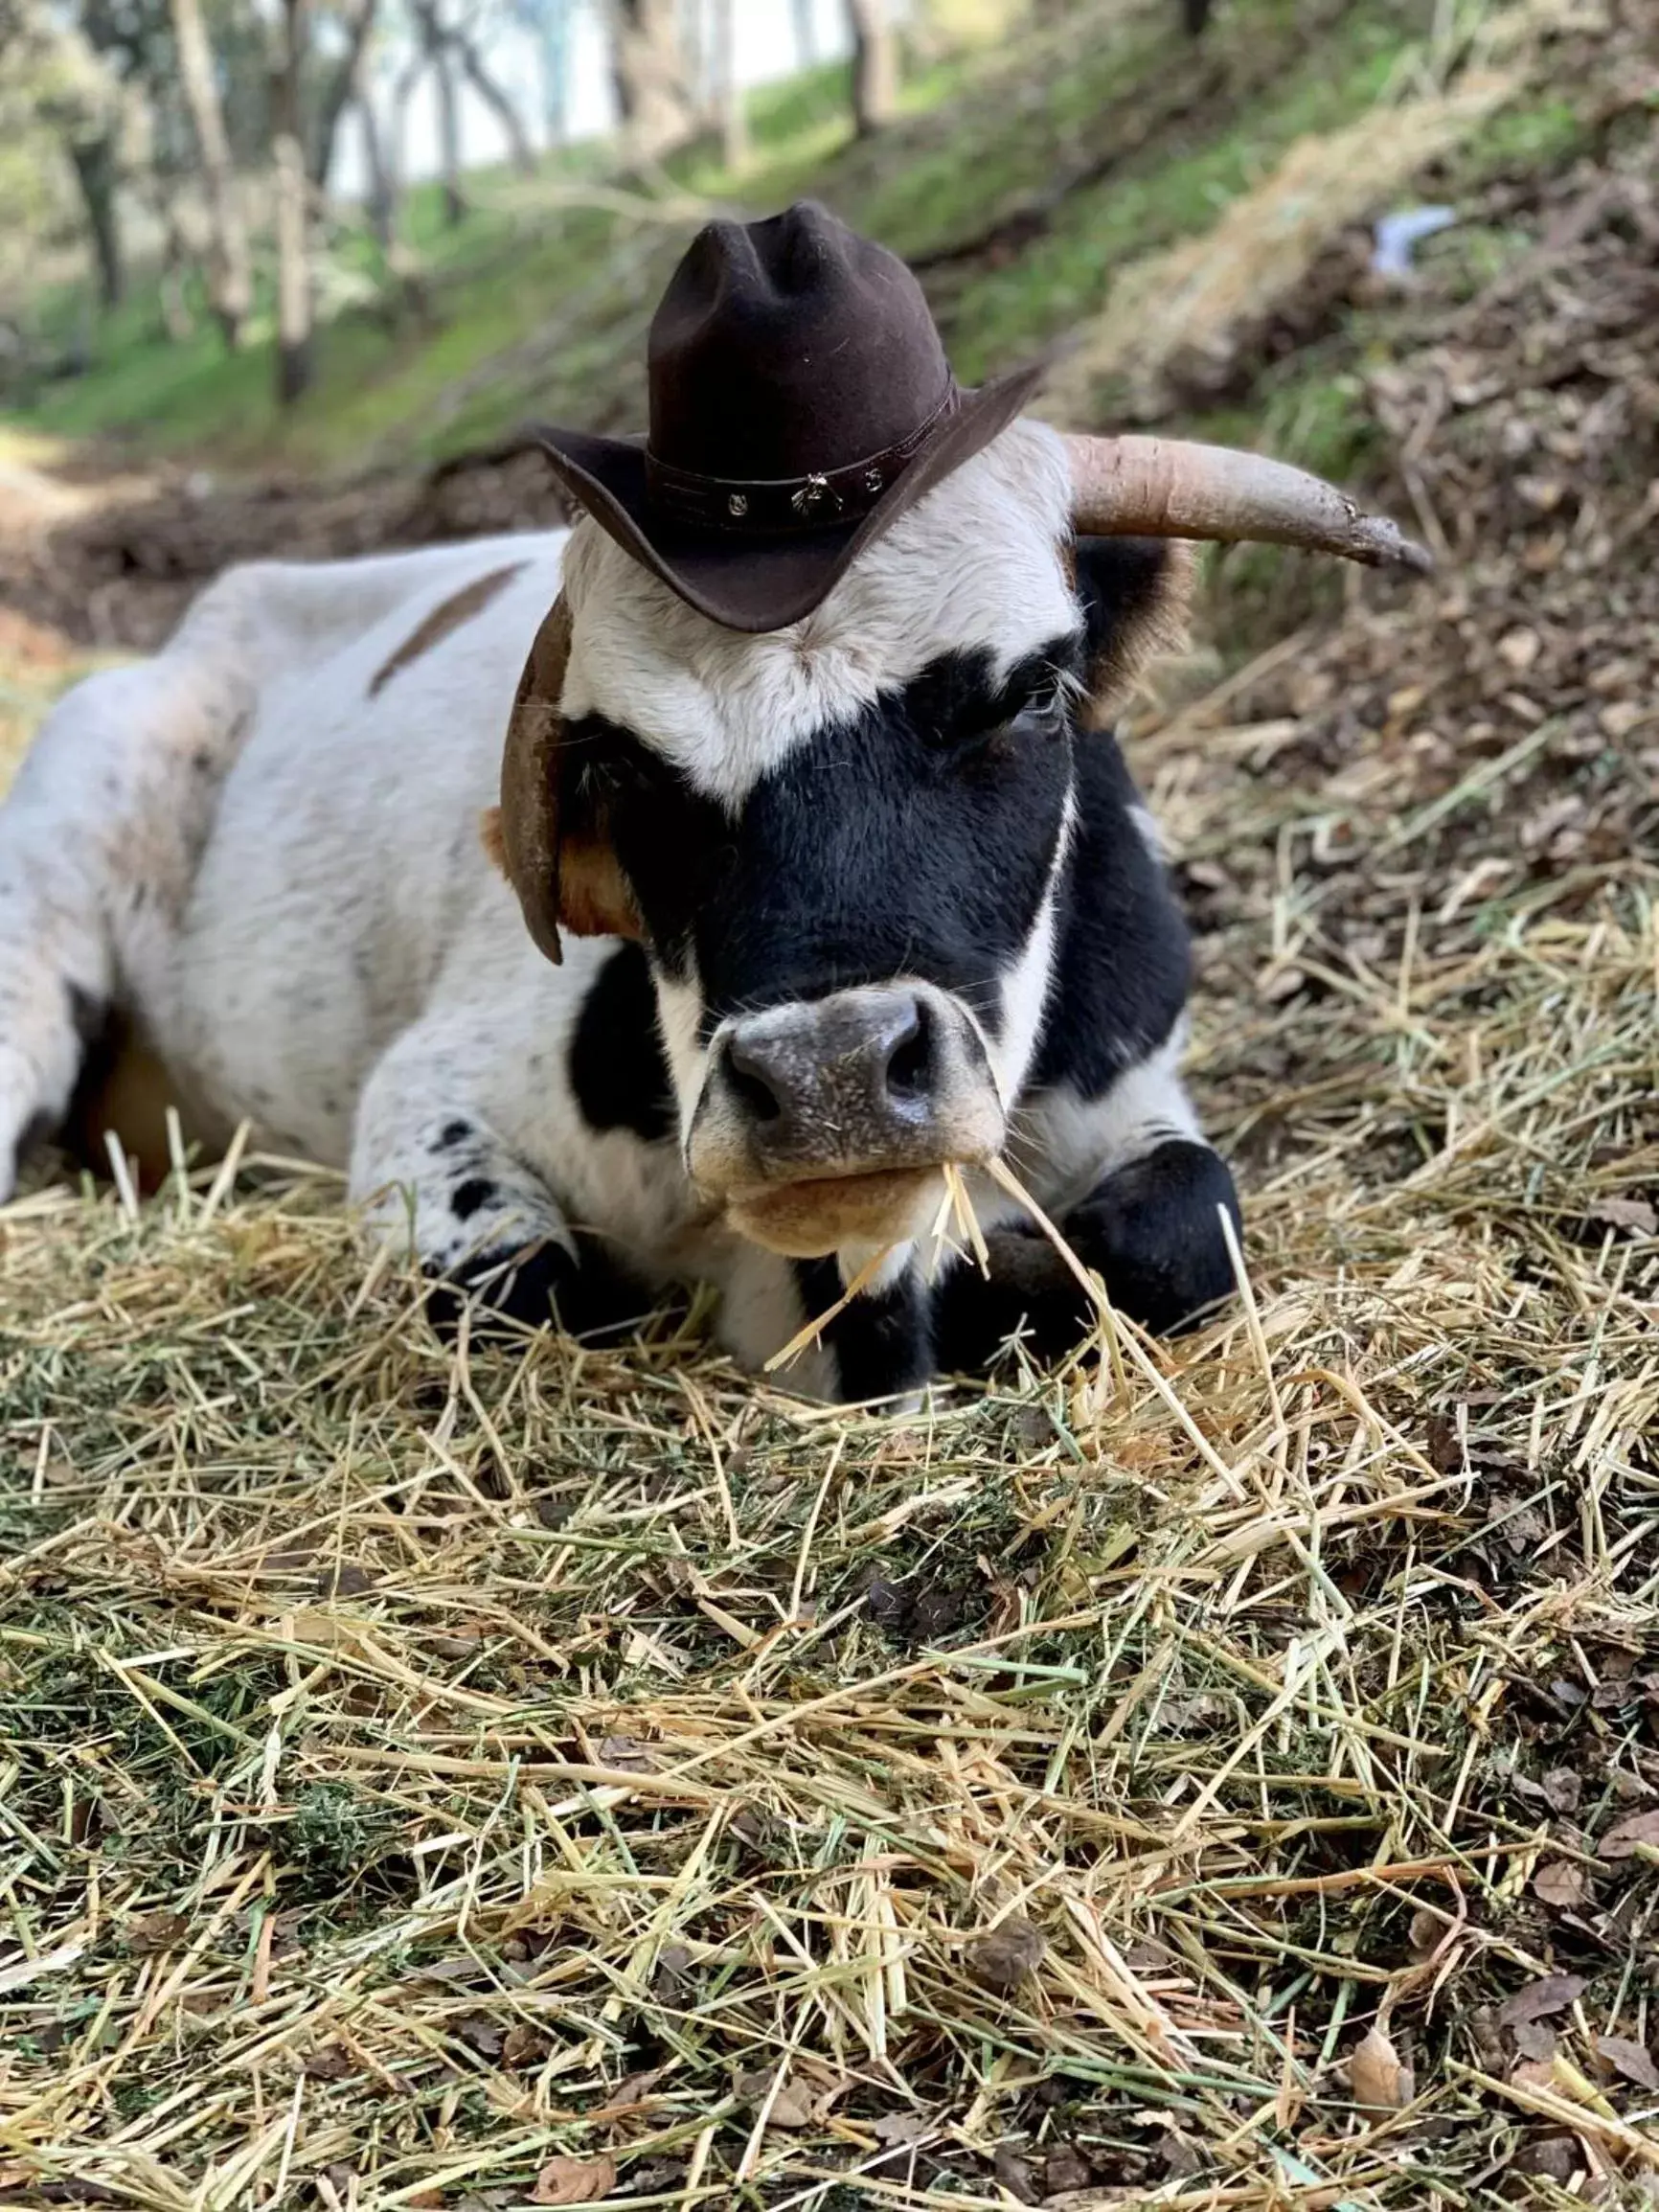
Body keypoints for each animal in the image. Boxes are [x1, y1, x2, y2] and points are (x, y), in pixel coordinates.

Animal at [0, 219, 1433, 1415]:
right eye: (621, 770)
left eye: (1032, 693)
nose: (829, 1079)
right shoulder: (432, 1100)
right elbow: (539, 1291)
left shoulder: (1135, 1089)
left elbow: (1181, 1230)